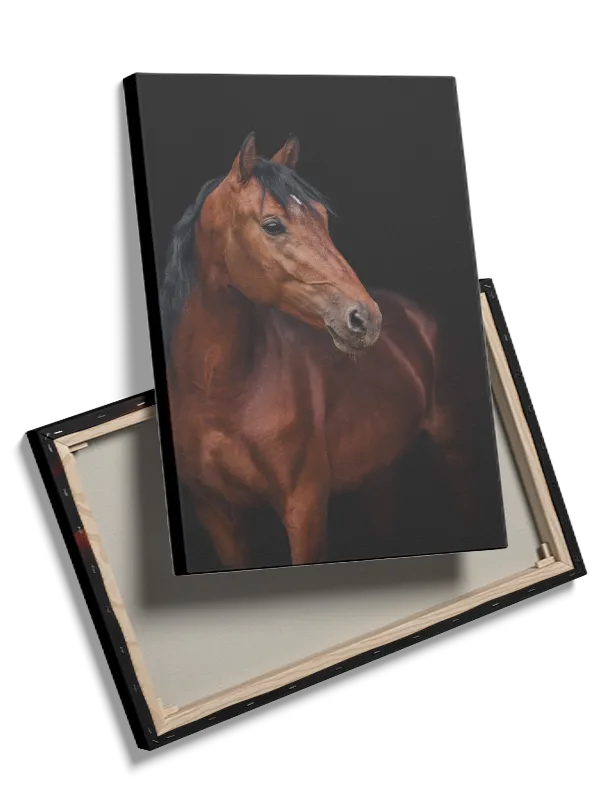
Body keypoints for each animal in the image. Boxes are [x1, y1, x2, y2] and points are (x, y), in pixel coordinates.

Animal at [162, 132, 476, 569]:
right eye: (273, 225)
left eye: (323, 220)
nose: (365, 319)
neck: (220, 393)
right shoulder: (216, 513)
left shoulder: (305, 509)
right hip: (379, 473)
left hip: (455, 451)